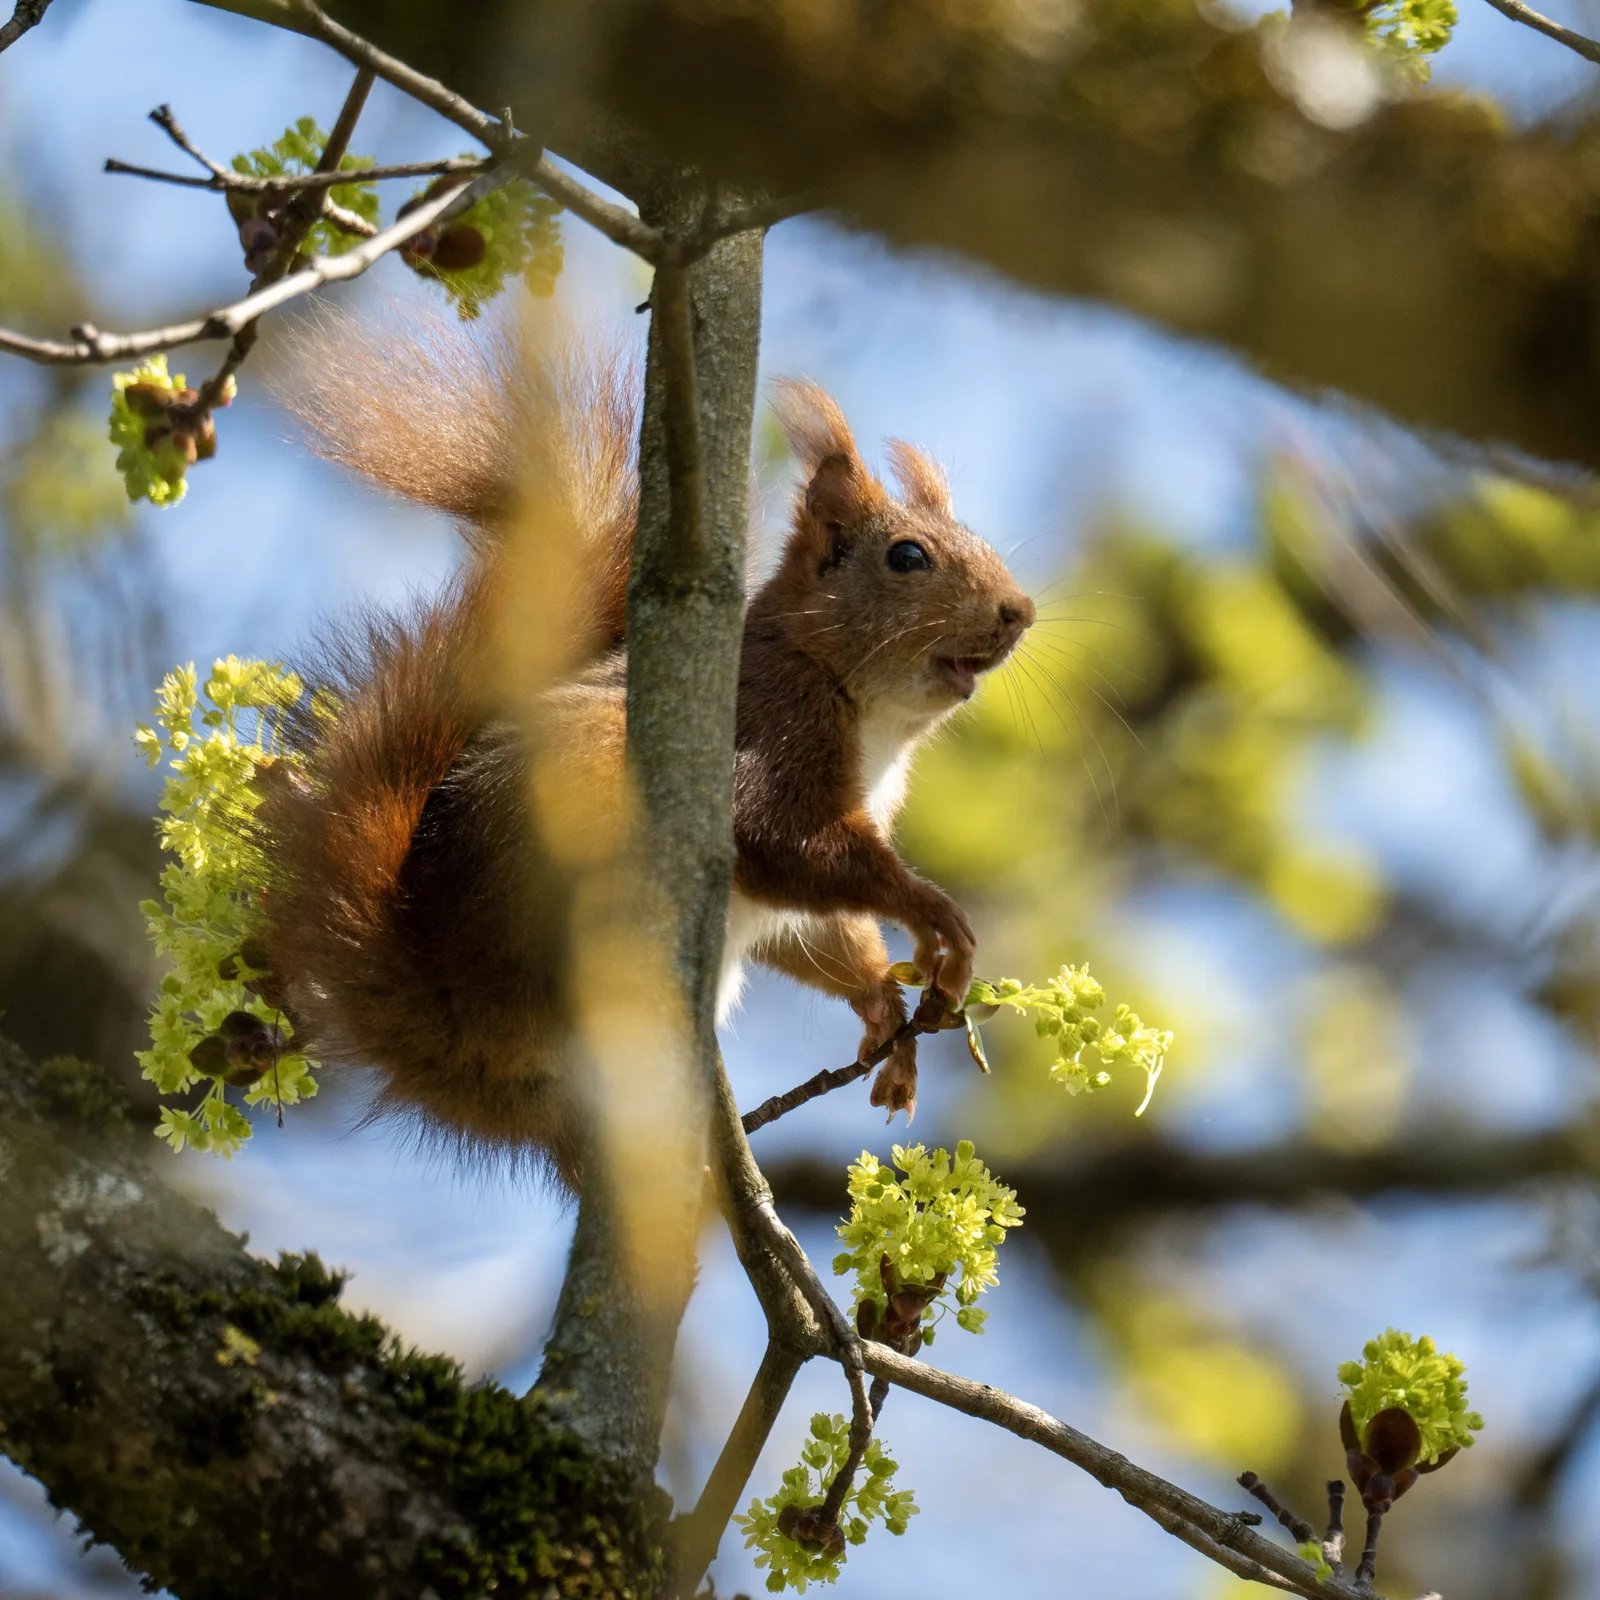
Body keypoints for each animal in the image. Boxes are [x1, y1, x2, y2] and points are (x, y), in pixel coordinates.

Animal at [251, 317, 1034, 1188]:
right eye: (907, 557)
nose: (1020, 610)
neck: (865, 709)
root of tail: (446, 1031)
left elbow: (818, 930)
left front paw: (887, 1016)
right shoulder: (770, 727)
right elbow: (782, 843)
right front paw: (934, 915)